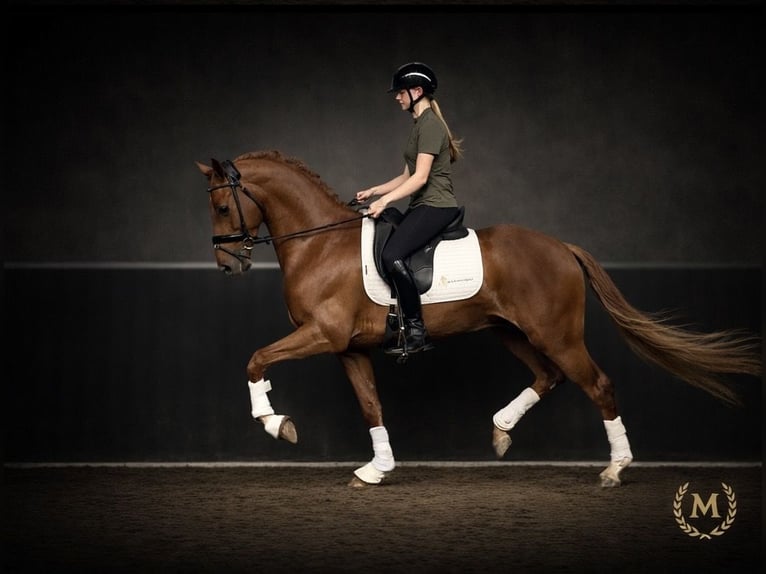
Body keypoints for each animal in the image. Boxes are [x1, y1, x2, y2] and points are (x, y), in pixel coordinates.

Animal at [196, 150, 761, 488]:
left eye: (222, 208)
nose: (226, 264)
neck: (319, 244)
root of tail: (562, 247)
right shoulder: (349, 347)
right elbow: (371, 406)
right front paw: (377, 469)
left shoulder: (321, 334)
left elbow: (255, 360)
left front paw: (276, 424)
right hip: (511, 332)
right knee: (548, 377)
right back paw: (502, 429)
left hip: (556, 335)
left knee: (596, 384)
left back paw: (615, 468)